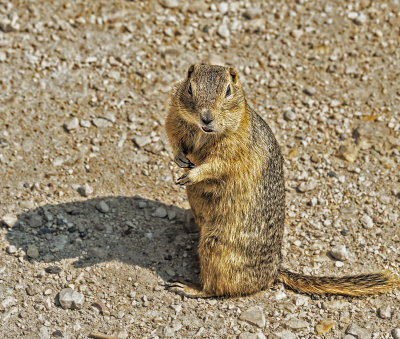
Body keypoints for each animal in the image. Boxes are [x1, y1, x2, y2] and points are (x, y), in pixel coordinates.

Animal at [164, 63, 398, 298]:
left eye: (228, 90)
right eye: (190, 88)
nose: (206, 117)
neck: (203, 133)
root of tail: (274, 271)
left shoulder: (235, 147)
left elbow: (217, 165)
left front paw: (191, 175)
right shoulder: (174, 118)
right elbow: (173, 137)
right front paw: (179, 158)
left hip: (215, 248)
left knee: (215, 289)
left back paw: (186, 287)